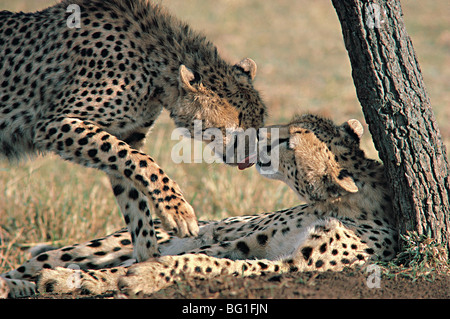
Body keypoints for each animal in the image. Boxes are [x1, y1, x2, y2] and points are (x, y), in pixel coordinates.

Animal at [0, 0, 266, 264]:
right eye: (235, 129)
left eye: (259, 124)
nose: (252, 159)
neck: (155, 68)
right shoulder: (52, 124)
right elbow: (146, 164)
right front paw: (178, 213)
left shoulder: (126, 137)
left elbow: (134, 193)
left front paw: (148, 257)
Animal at [2, 114, 398, 298]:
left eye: (288, 140)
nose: (259, 134)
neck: (340, 204)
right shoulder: (240, 242)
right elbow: (194, 254)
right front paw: (87, 280)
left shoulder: (289, 265)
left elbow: (203, 262)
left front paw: (141, 276)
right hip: (85, 248)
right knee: (29, 266)